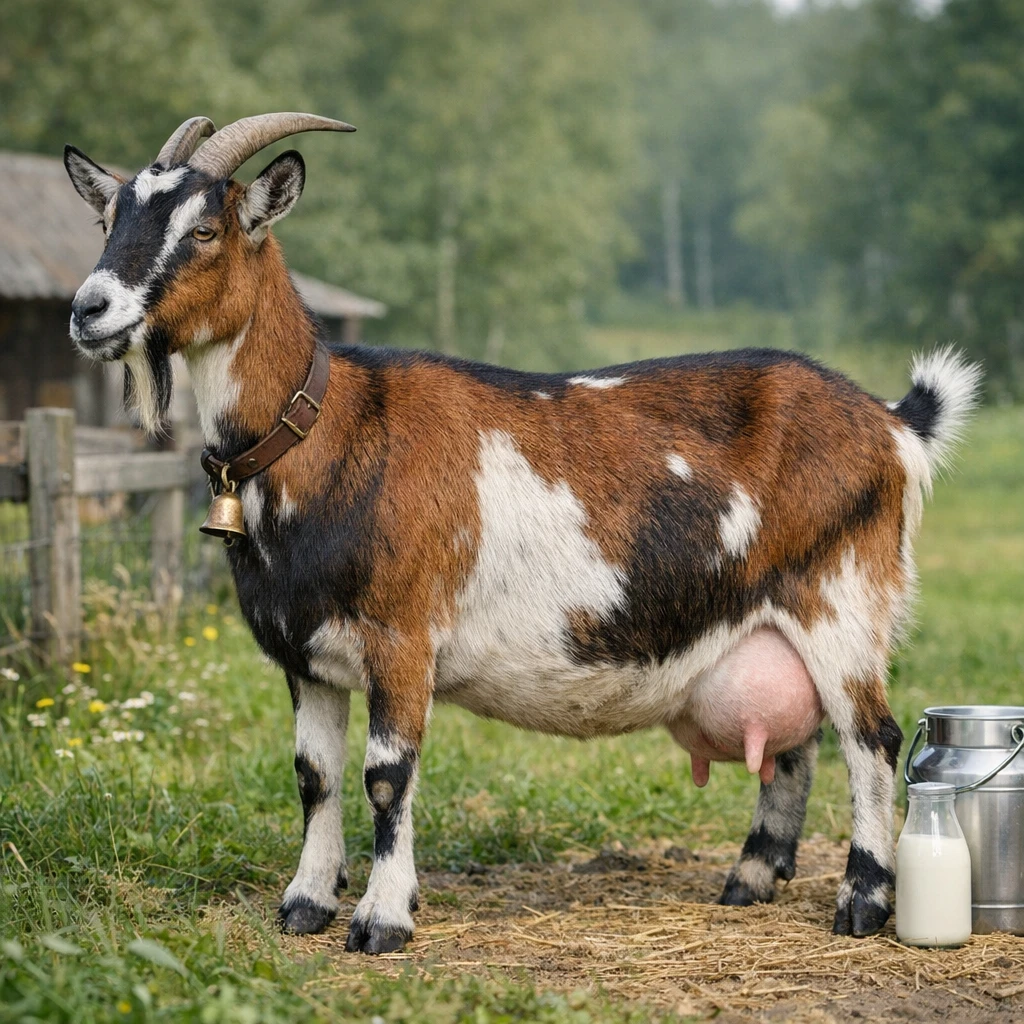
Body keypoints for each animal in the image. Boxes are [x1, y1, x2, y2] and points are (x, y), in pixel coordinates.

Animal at [65, 113, 982, 954]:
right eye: (108, 219)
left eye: (206, 230)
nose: (88, 310)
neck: (330, 429)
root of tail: (892, 422)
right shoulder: (304, 650)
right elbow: (314, 777)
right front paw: (305, 904)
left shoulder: (403, 637)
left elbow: (385, 776)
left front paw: (382, 918)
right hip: (775, 620)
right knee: (795, 744)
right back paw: (751, 878)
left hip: (841, 595)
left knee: (870, 738)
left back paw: (862, 902)